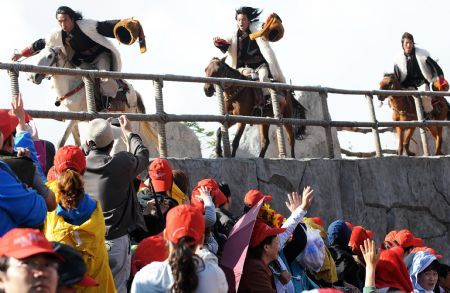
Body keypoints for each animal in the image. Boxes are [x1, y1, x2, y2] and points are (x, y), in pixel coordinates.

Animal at [28, 46, 158, 152]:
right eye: (38, 55)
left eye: (50, 56)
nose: (35, 77)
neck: (72, 85)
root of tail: (134, 93)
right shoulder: (71, 116)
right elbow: (76, 141)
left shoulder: (76, 115)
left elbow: (61, 141)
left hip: (131, 119)